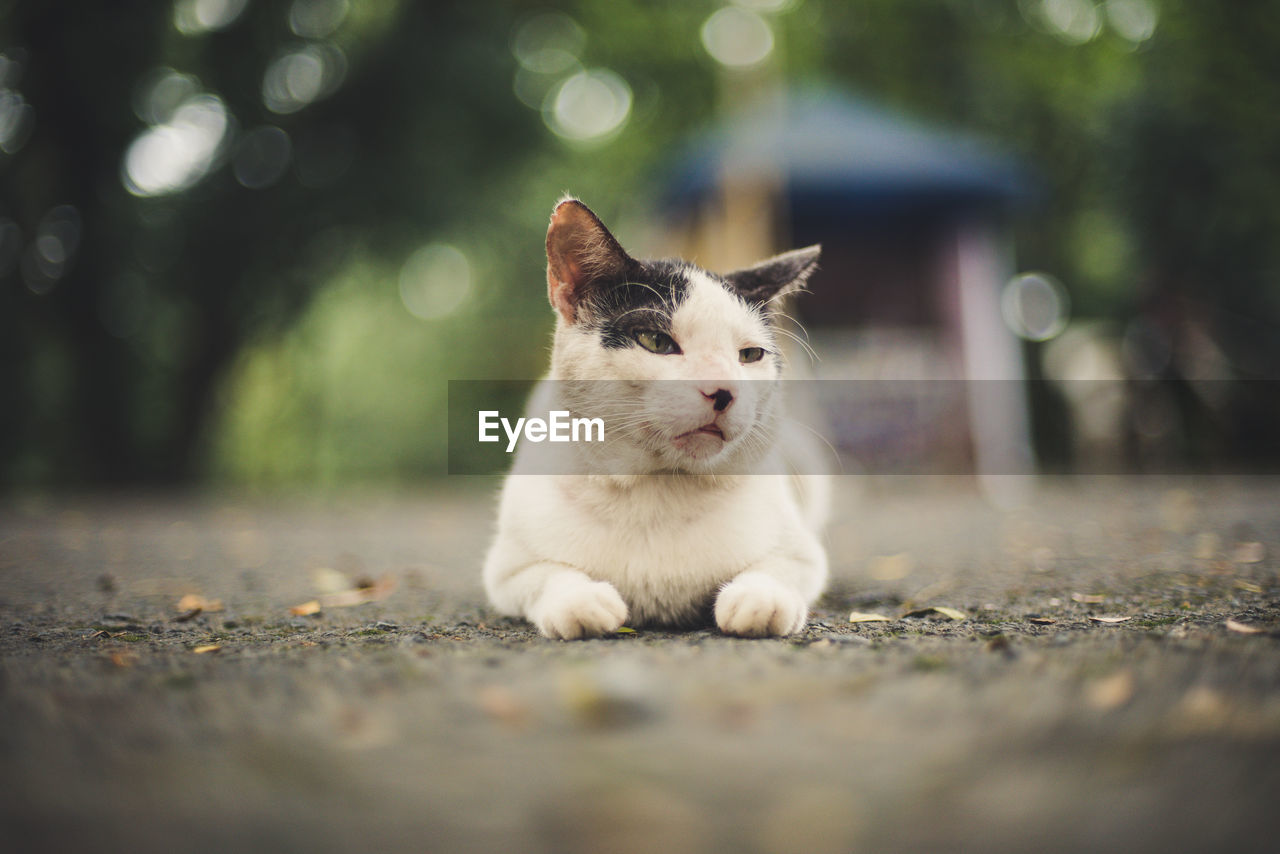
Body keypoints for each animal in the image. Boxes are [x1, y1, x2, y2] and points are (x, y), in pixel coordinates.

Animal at [481, 198, 829, 640]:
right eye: (656, 342)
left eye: (750, 355)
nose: (723, 391)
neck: (657, 489)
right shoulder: (507, 567)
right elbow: (548, 573)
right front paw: (580, 601)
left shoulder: (804, 554)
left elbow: (777, 568)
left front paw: (759, 599)